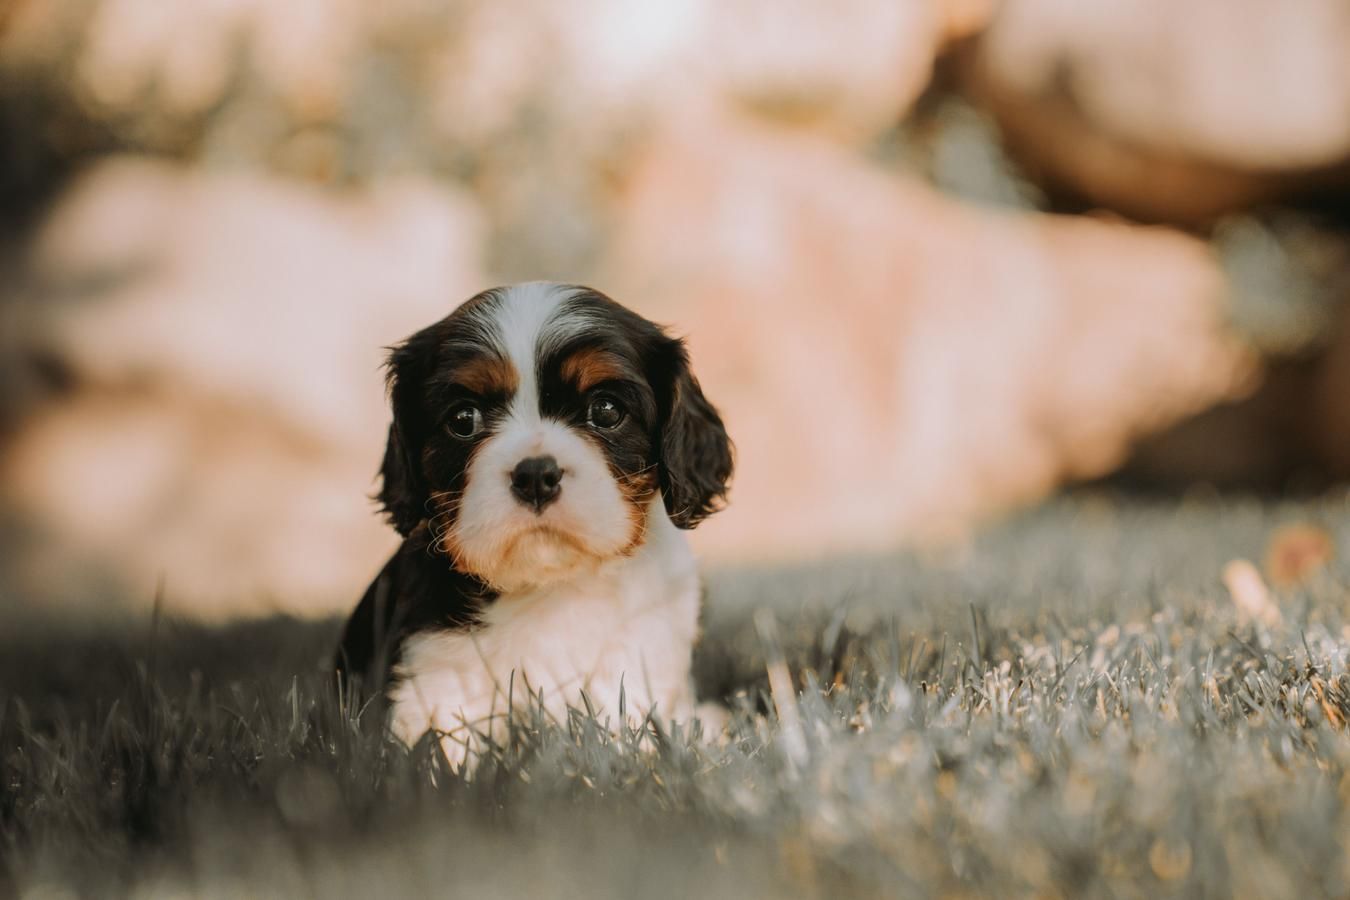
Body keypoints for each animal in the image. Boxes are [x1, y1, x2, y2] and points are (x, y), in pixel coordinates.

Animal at [340, 282, 739, 766]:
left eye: (607, 411)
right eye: (463, 419)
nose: (535, 476)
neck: (550, 581)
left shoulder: (645, 642)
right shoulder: (436, 664)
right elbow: (443, 734)